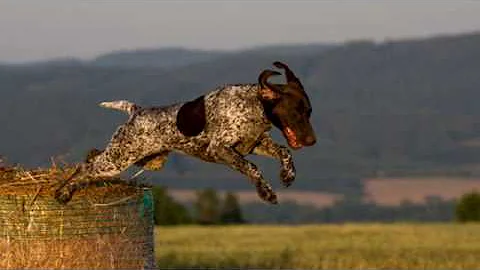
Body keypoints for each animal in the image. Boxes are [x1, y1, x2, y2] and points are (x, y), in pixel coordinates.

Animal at [55, 61, 316, 204]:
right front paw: (266, 193)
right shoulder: (221, 148)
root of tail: (136, 111)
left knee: (92, 155)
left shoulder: (255, 145)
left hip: (140, 158)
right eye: (295, 112)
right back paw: (63, 191)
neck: (253, 104)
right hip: (118, 159)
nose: (313, 141)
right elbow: (253, 168)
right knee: (86, 166)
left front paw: (288, 175)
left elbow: (284, 152)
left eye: (309, 111)